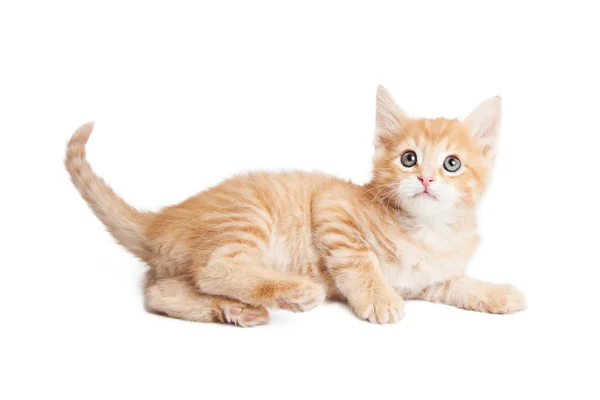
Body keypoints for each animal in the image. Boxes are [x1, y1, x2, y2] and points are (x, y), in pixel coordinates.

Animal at [65, 86, 524, 326]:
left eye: (452, 164)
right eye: (409, 158)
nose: (426, 179)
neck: (427, 230)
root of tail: (161, 221)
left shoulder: (429, 279)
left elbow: (457, 284)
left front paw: (496, 293)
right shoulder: (333, 208)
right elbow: (359, 261)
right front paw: (378, 298)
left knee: (159, 292)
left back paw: (233, 308)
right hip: (248, 216)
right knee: (214, 266)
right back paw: (293, 292)